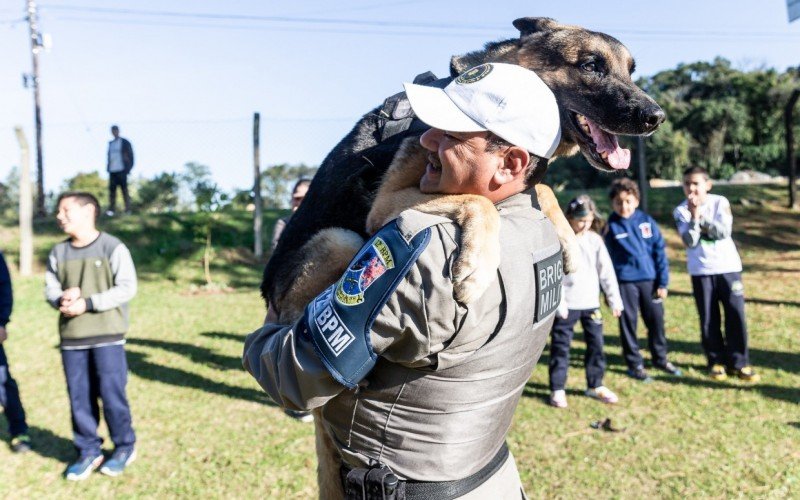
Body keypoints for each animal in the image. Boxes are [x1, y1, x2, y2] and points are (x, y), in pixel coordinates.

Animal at [260, 16, 664, 500]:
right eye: (590, 65)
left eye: (631, 71)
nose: (656, 116)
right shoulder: (386, 203)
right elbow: (480, 199)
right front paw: (476, 265)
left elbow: (542, 188)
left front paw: (566, 238)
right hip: (338, 240)